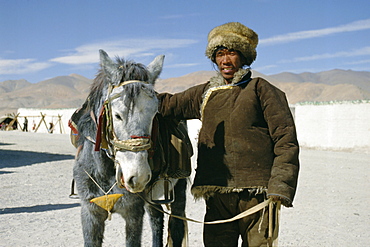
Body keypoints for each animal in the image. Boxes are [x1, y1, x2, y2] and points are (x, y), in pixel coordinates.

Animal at [73, 49, 188, 246]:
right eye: (117, 115)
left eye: (154, 115)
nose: (138, 176)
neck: (104, 171)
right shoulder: (90, 212)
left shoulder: (133, 212)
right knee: (156, 219)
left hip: (179, 188)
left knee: (176, 225)